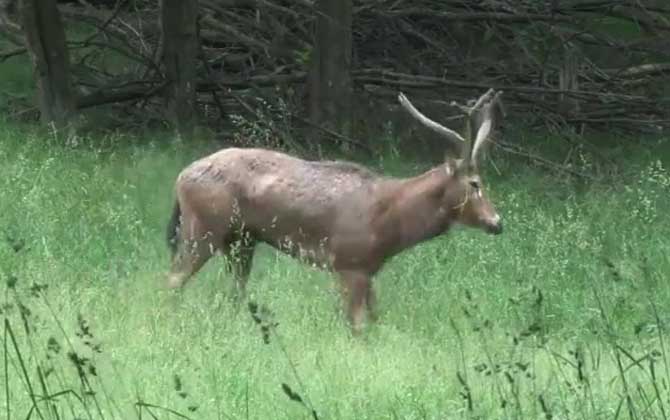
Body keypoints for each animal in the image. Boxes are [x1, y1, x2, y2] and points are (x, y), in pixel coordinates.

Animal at [165, 88, 506, 334]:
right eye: (475, 183)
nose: (497, 222)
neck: (389, 221)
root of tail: (180, 178)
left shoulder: (368, 270)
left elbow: (376, 321)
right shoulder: (348, 263)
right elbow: (357, 327)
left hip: (241, 240)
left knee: (234, 290)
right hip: (203, 227)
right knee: (173, 279)